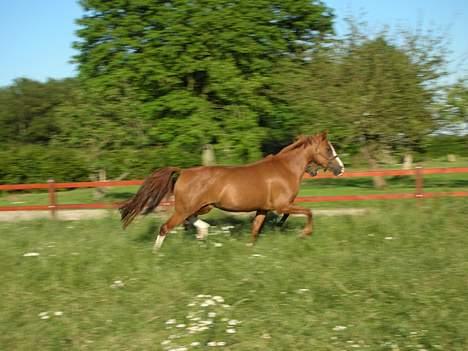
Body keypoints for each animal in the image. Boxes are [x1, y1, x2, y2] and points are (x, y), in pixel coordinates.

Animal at [119, 131, 342, 250]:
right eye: (328, 149)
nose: (340, 168)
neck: (285, 169)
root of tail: (183, 172)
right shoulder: (282, 205)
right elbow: (308, 212)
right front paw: (304, 233)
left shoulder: (263, 209)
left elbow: (255, 230)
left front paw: (250, 249)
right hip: (185, 208)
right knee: (166, 227)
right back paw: (157, 254)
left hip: (202, 207)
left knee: (190, 221)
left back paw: (203, 232)